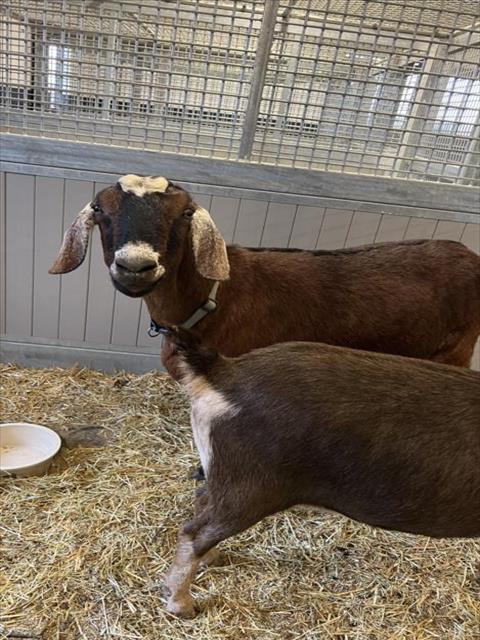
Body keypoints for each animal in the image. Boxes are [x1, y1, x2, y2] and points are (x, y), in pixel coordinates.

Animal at [49, 175, 480, 368]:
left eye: (186, 213)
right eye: (100, 209)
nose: (135, 266)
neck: (214, 300)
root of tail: (467, 252)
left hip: (455, 349)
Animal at [160, 328, 480, 616]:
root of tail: (222, 371)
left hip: (226, 478)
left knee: (201, 499)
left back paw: (212, 559)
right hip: (248, 488)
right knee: (193, 532)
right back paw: (183, 606)